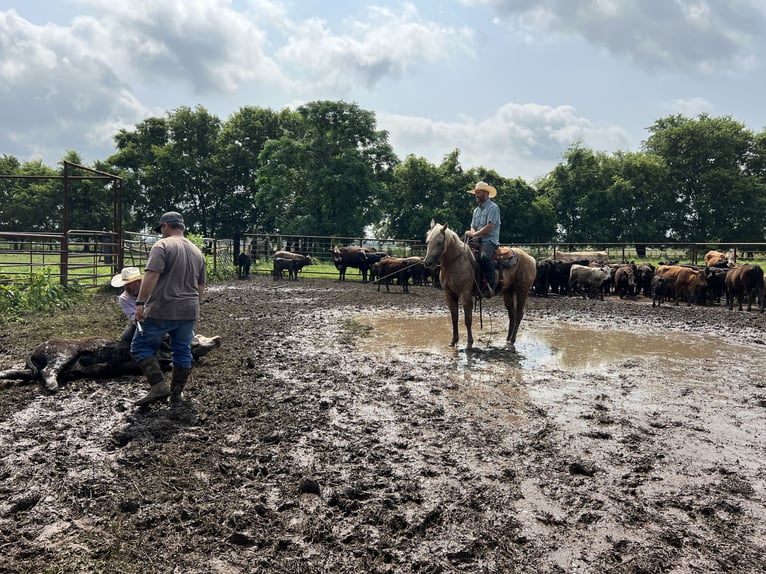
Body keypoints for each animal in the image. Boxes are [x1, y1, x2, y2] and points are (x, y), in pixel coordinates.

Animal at [0, 336, 222, 394]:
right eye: (197, 338)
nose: (218, 338)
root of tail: (35, 350)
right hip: (61, 354)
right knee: (48, 371)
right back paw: (54, 388)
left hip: (35, 368)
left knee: (23, 373)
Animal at [424, 222, 536, 352]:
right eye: (428, 241)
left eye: (439, 242)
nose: (427, 263)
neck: (456, 262)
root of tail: (531, 258)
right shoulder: (449, 294)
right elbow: (454, 318)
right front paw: (453, 341)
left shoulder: (465, 295)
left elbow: (468, 320)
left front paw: (469, 343)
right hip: (508, 291)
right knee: (511, 314)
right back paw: (507, 339)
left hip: (522, 290)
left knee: (518, 314)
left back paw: (512, 340)